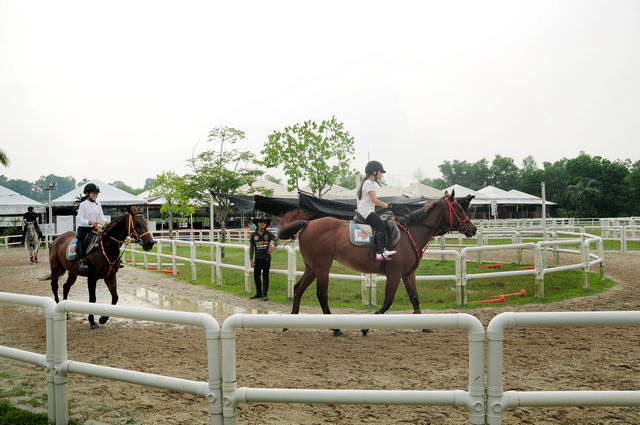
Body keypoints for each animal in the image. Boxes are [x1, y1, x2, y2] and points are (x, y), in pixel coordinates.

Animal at [276, 191, 476, 334]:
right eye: (459, 209)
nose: (472, 229)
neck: (409, 233)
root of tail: (308, 224)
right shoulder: (394, 274)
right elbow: (388, 301)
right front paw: (366, 327)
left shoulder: (408, 274)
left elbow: (414, 298)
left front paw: (425, 326)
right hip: (322, 267)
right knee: (321, 294)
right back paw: (336, 329)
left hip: (312, 267)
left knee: (298, 289)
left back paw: (289, 323)